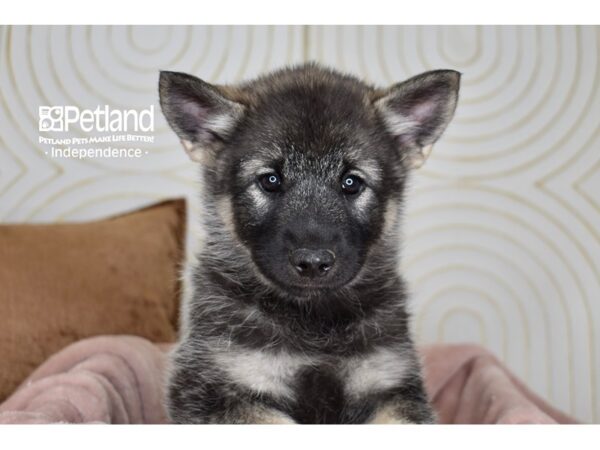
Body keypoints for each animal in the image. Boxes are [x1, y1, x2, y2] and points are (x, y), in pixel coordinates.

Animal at [157, 63, 458, 426]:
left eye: (351, 182)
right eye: (270, 180)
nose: (313, 263)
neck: (313, 319)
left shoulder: (391, 385)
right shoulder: (215, 387)